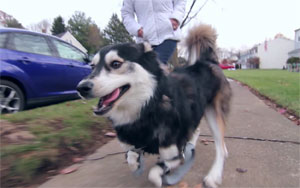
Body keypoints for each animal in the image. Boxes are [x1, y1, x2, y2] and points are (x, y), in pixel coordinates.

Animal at [77, 25, 232, 188]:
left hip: (214, 114)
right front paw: (137, 164)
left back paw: (214, 175)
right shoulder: (134, 145)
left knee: (219, 146)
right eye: (92, 66)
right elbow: (131, 157)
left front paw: (159, 179)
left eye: (115, 64)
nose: (81, 88)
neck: (148, 108)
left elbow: (154, 173)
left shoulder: (175, 154)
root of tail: (208, 62)